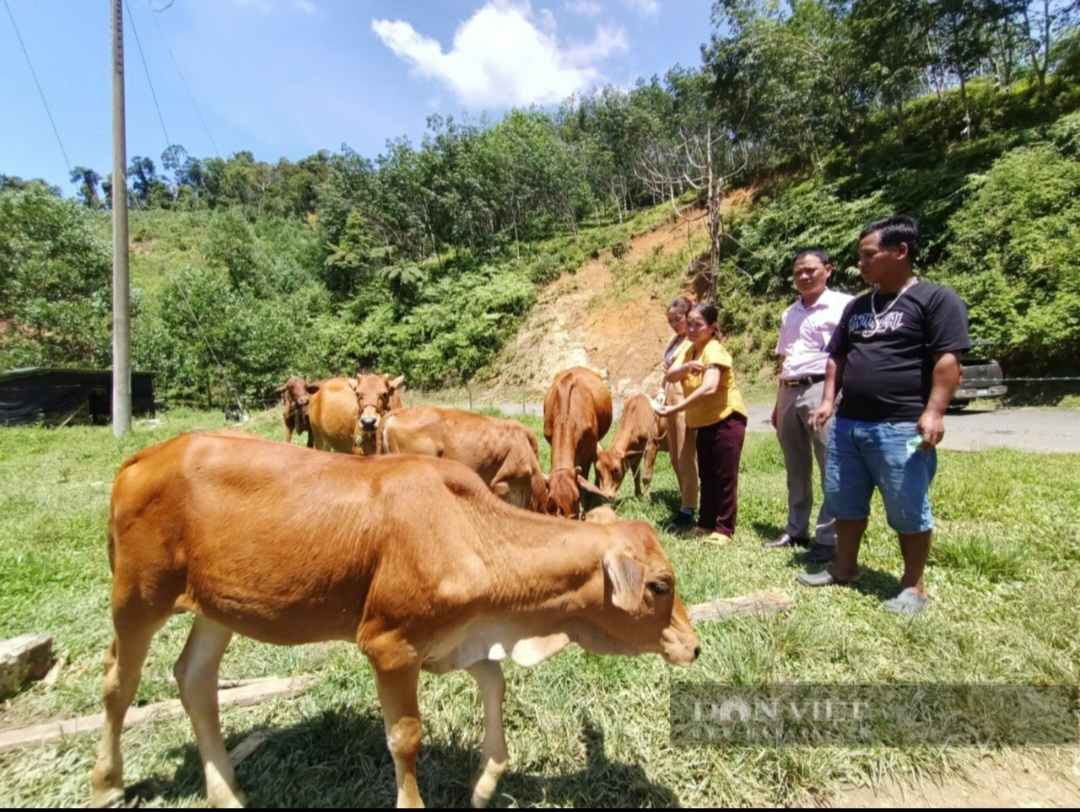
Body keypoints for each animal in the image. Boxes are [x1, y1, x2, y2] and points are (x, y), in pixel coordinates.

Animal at [90, 438, 699, 812]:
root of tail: (143, 457)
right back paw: (107, 782)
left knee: (195, 679)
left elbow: (494, 683)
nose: (693, 647)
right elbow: (406, 737)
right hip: (138, 596)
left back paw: (225, 791)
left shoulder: (461, 637)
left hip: (218, 606)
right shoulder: (389, 644)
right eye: (659, 585)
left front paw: (484, 782)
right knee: (118, 683)